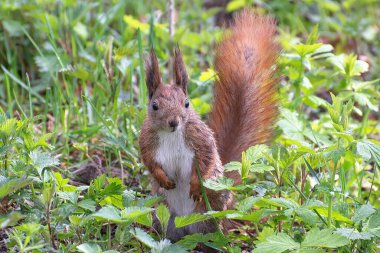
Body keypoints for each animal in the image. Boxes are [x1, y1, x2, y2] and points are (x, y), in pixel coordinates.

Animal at [138, 9, 278, 239]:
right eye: (155, 106)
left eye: (186, 103)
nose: (174, 122)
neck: (171, 135)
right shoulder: (146, 140)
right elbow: (149, 161)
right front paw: (163, 179)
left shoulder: (199, 138)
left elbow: (206, 159)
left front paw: (196, 186)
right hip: (165, 215)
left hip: (211, 211)